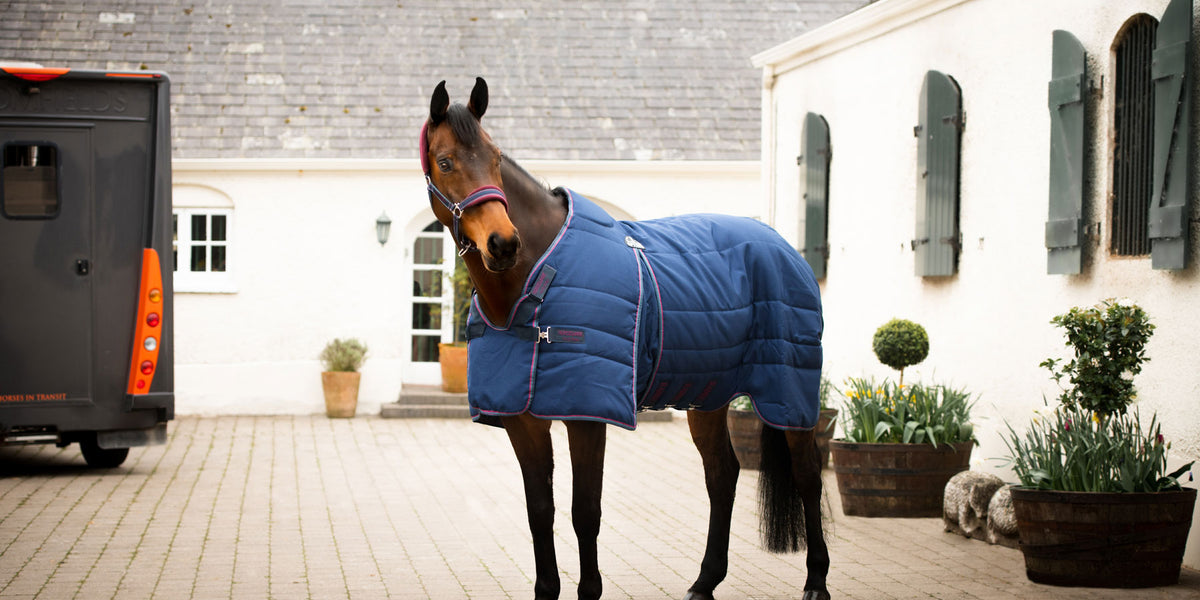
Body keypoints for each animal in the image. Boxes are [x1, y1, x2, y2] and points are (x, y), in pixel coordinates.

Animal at [420, 77, 831, 600]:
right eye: (446, 161)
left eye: (495, 157)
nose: (503, 244)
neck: (537, 283)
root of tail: (785, 248)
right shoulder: (523, 421)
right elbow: (540, 513)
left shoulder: (586, 416)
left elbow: (585, 514)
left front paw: (590, 589)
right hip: (708, 394)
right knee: (722, 476)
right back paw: (704, 582)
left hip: (788, 392)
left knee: (808, 476)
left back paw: (816, 581)